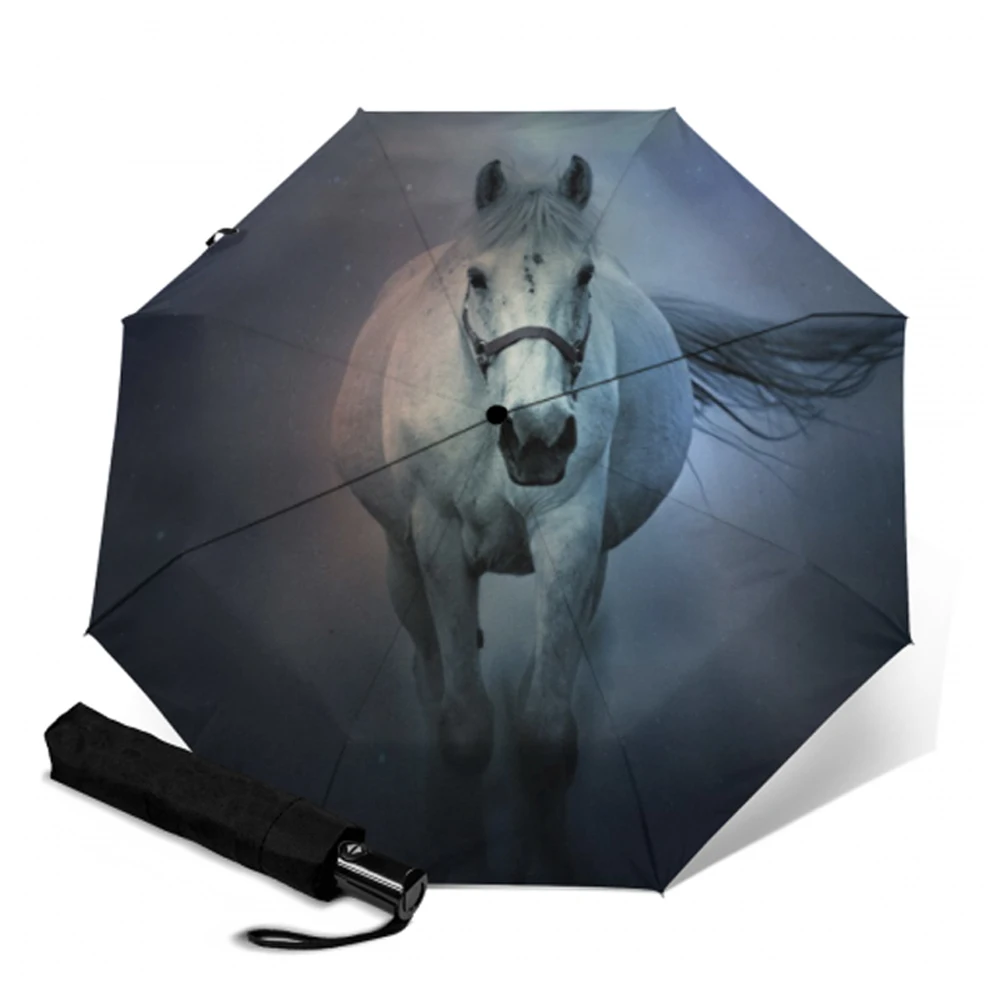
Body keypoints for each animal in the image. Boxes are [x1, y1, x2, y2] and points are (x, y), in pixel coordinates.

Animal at [331, 155, 901, 796]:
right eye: (476, 277)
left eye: (584, 276)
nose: (537, 438)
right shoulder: (440, 538)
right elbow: (467, 732)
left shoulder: (571, 533)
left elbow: (545, 732)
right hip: (401, 556)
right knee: (426, 649)